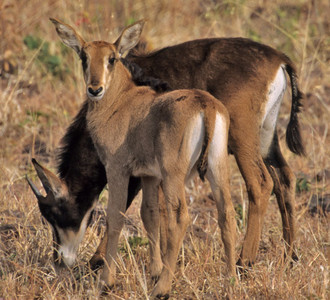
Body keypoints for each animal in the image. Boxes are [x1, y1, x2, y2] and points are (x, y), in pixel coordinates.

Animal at [28, 15, 304, 286]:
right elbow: (151, 212)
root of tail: (280, 60)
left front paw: (100, 264)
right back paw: (289, 257)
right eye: (83, 58)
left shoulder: (126, 168)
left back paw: (244, 263)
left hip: (240, 139)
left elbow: (123, 211)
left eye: (55, 213)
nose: (59, 261)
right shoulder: (150, 171)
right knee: (284, 179)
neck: (120, 97)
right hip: (264, 140)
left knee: (260, 183)